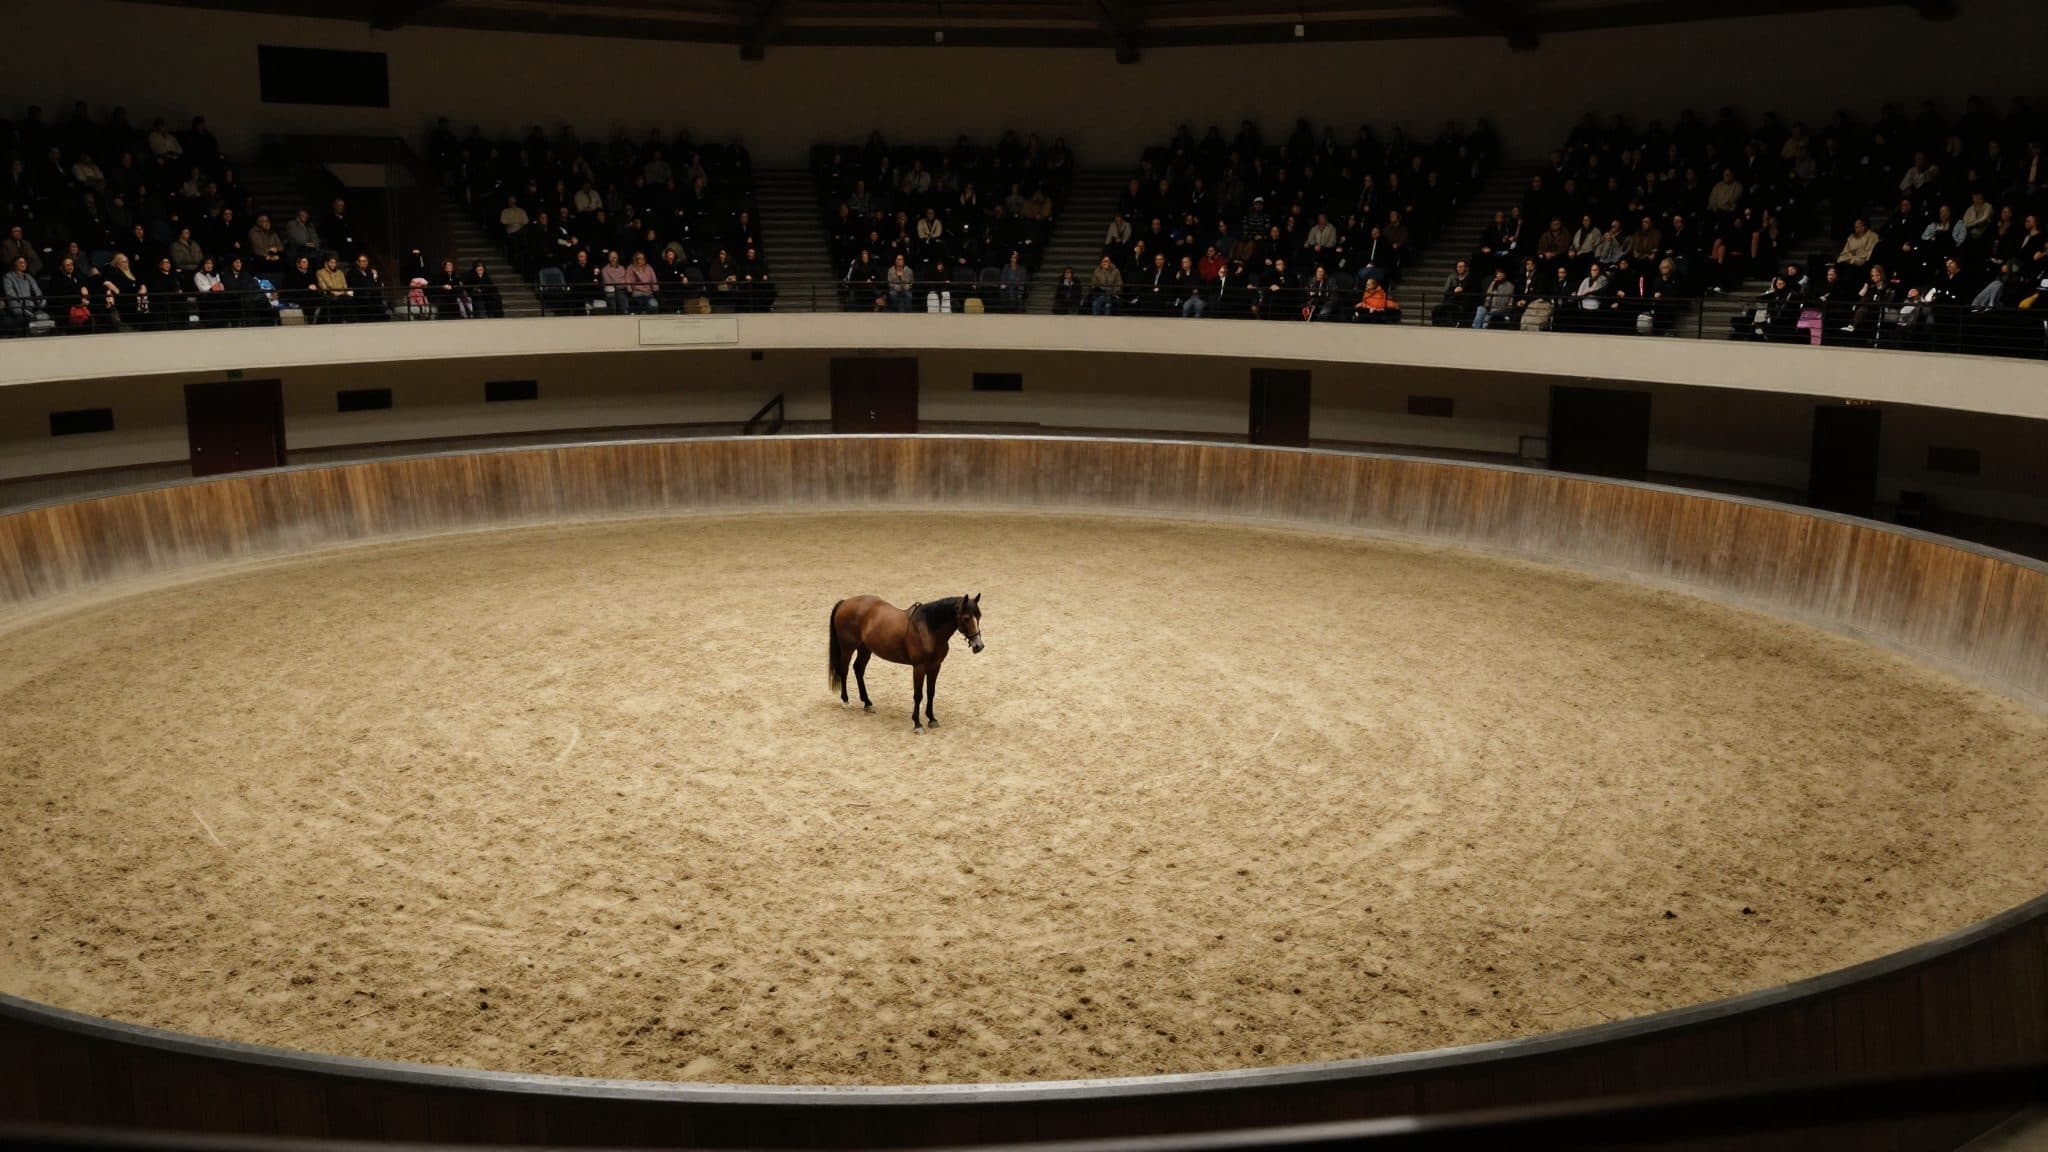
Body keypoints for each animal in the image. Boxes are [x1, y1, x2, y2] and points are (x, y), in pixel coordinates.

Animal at [829, 593, 983, 732]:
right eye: (966, 618)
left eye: (979, 616)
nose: (978, 646)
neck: (927, 629)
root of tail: (845, 602)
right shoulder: (919, 667)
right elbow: (918, 695)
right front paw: (917, 724)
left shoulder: (935, 666)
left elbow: (931, 692)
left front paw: (932, 719)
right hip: (847, 649)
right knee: (844, 671)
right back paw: (846, 701)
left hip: (865, 649)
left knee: (858, 669)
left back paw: (867, 703)